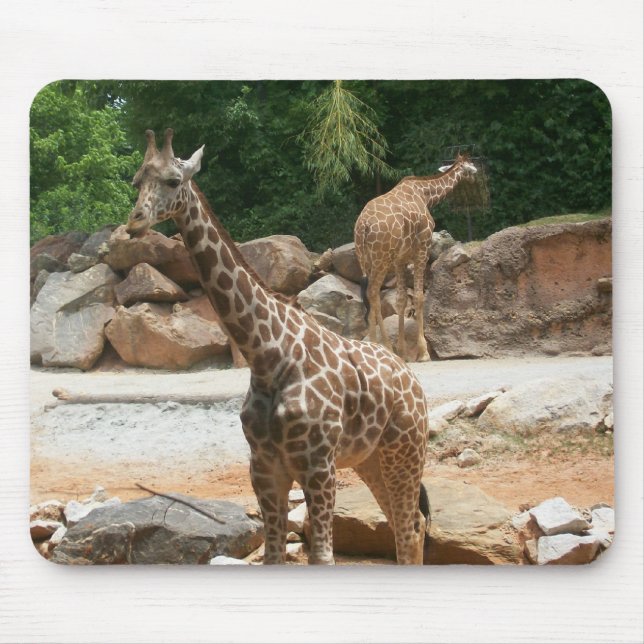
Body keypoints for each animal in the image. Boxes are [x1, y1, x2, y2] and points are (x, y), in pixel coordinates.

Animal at [125, 129, 431, 565]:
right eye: (136, 180)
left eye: (172, 180)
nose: (135, 222)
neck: (268, 354)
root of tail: (413, 380)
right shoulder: (265, 467)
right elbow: (272, 554)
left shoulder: (318, 467)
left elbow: (323, 556)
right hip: (370, 458)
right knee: (409, 526)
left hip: (404, 450)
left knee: (409, 528)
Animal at [355, 153, 477, 362]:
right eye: (470, 167)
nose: (476, 176)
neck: (425, 195)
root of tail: (363, 225)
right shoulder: (422, 251)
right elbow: (419, 297)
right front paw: (423, 353)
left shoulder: (400, 259)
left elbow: (401, 300)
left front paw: (403, 352)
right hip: (381, 259)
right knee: (372, 292)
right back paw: (380, 346)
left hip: (366, 260)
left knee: (371, 295)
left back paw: (382, 346)